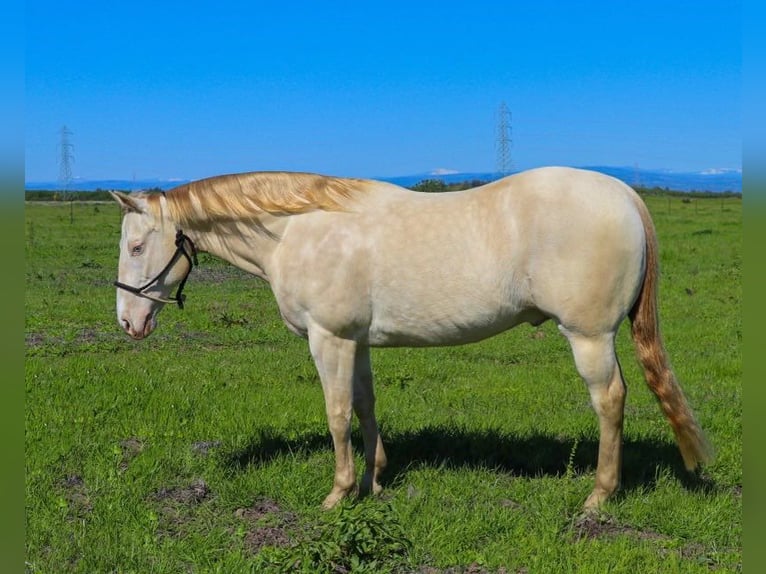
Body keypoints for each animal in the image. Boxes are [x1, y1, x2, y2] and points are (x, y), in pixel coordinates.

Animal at [112, 166, 712, 512]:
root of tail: (624, 193)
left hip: (589, 337)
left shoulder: (328, 339)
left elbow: (336, 414)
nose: (127, 322)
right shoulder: (355, 341)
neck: (298, 231)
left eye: (137, 246)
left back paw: (598, 496)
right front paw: (374, 481)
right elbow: (365, 406)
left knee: (609, 401)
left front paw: (338, 494)